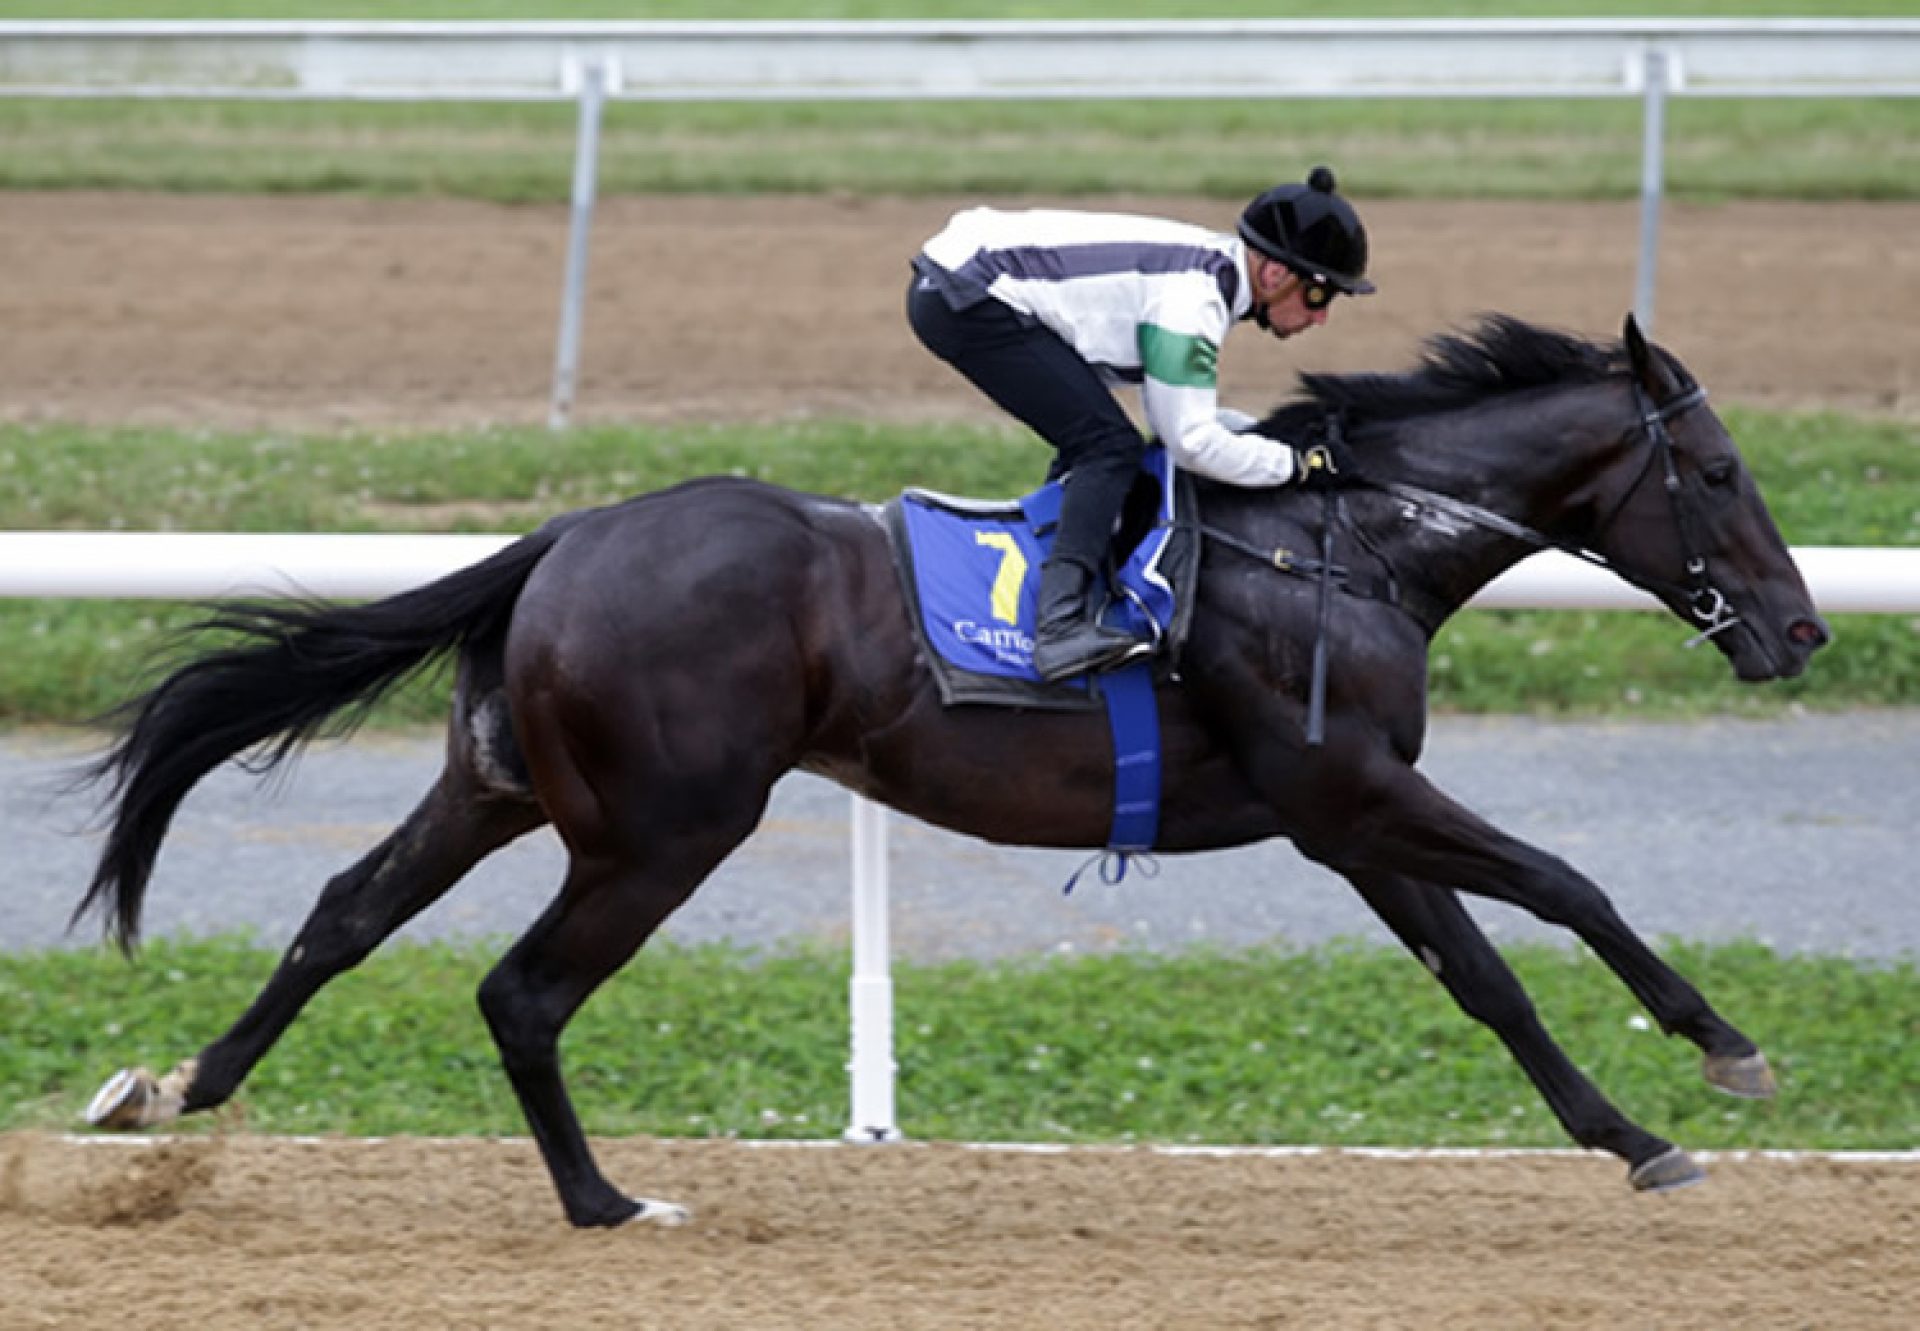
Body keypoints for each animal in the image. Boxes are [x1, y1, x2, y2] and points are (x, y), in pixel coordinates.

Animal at [74, 314, 1827, 1221]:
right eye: (1719, 466)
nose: (1802, 628)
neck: (1344, 547)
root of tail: (569, 533)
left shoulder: (1346, 820)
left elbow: (1491, 979)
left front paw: (1634, 1135)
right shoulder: (1354, 793)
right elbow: (1568, 883)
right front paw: (1727, 1047)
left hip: (504, 785)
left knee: (343, 911)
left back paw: (172, 1093)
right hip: (661, 826)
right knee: (521, 989)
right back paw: (606, 1200)